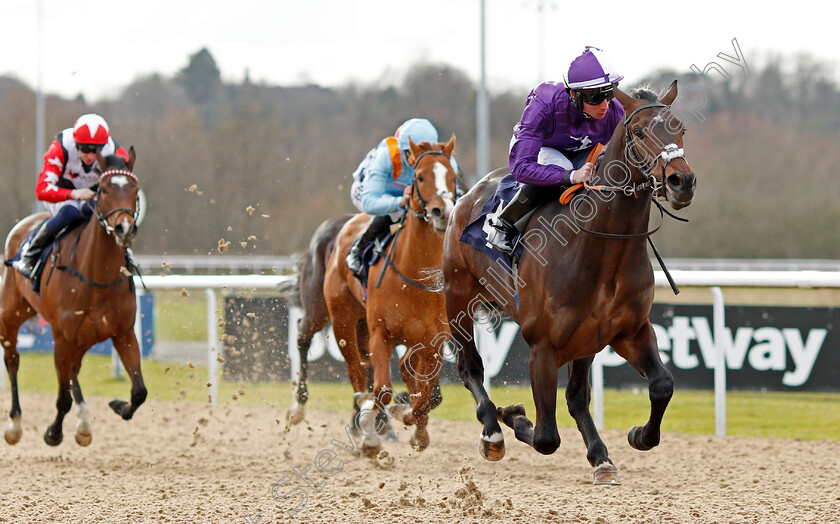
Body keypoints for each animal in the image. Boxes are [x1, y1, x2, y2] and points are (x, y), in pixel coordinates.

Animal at [0, 149, 144, 448]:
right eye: (103, 190)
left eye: (135, 190)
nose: (124, 229)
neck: (96, 276)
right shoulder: (63, 337)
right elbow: (62, 399)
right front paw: (53, 433)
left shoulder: (123, 332)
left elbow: (139, 391)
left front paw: (117, 405)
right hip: (11, 314)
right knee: (13, 360)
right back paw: (15, 425)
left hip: (79, 338)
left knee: (72, 372)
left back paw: (84, 423)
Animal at [324, 135, 460, 454]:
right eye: (419, 176)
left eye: (453, 176)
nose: (442, 211)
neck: (416, 278)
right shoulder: (380, 334)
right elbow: (383, 390)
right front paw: (373, 436)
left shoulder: (434, 340)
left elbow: (426, 395)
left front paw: (417, 430)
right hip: (343, 321)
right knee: (357, 374)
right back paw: (365, 421)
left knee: (405, 372)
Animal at [442, 84, 700, 486]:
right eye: (639, 131)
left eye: (681, 128)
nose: (681, 182)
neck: (602, 247)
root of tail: (466, 197)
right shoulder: (543, 345)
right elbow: (546, 437)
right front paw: (513, 415)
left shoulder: (628, 331)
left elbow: (662, 384)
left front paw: (637, 435)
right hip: (458, 298)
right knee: (471, 367)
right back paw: (492, 431)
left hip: (585, 341)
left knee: (577, 396)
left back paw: (600, 456)